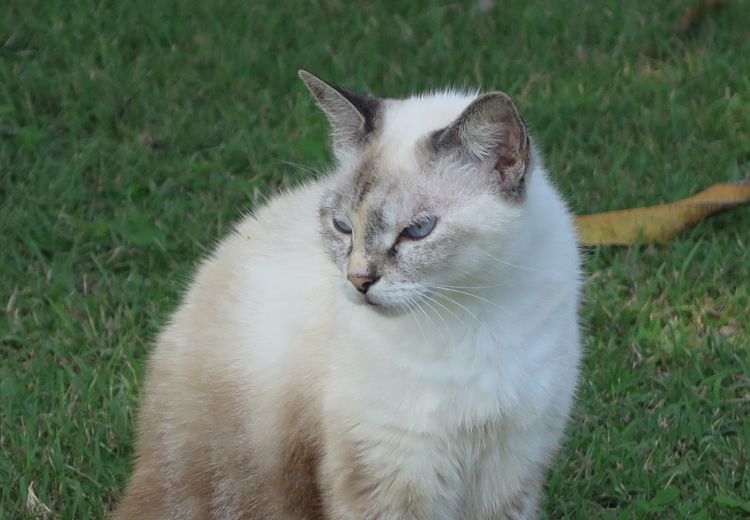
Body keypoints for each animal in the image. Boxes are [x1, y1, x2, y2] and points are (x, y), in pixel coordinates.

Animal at [114, 70, 584, 520]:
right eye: (343, 227)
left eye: (417, 230)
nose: (359, 281)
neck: (470, 315)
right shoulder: (391, 472)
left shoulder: (512, 465)